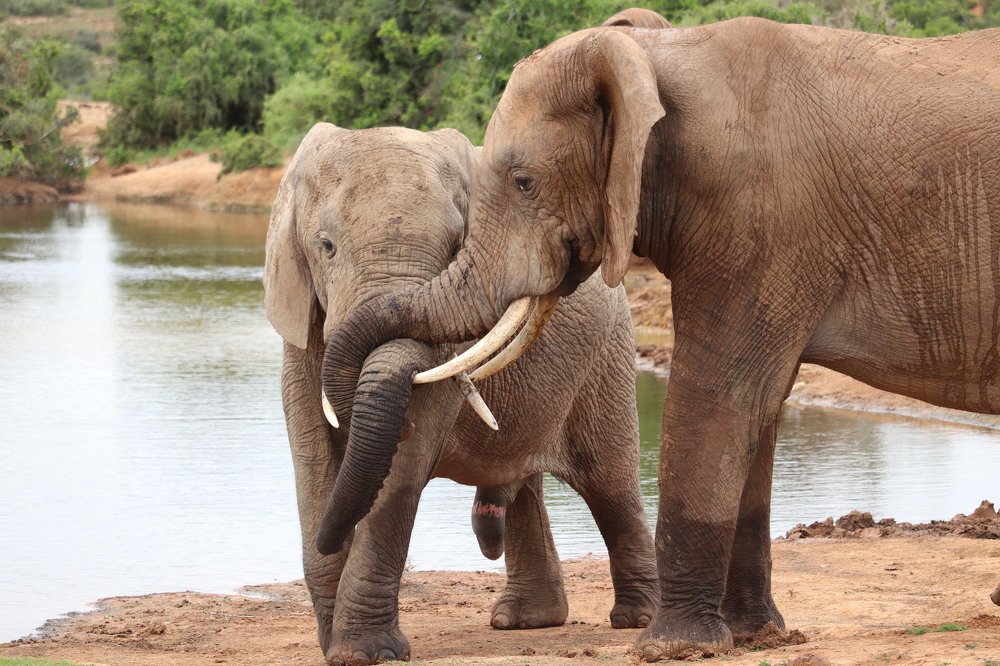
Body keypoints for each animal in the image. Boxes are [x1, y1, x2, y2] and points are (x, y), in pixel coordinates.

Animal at [263, 123, 658, 665]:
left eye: (455, 246)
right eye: (326, 247)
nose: (330, 540)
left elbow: (402, 469)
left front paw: (365, 652)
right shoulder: (301, 320)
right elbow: (312, 456)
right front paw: (333, 645)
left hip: (607, 356)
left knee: (611, 484)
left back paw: (637, 620)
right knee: (524, 485)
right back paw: (523, 622)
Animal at [319, 17, 1000, 661]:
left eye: (523, 182)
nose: (328, 539)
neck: (657, 54)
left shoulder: (758, 223)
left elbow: (719, 394)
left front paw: (673, 647)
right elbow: (758, 407)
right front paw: (751, 636)